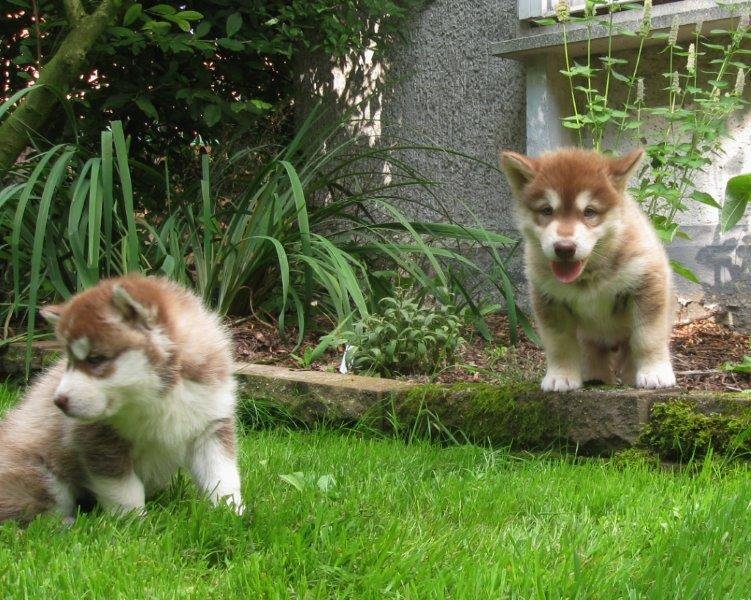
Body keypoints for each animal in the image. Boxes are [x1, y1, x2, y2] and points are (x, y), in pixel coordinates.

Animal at [0, 275, 244, 523]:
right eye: (69, 360)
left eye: (95, 359)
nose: (58, 401)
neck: (162, 395)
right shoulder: (99, 441)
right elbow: (124, 490)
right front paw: (134, 523)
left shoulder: (211, 426)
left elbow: (222, 476)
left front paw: (231, 513)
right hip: (40, 475)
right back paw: (67, 523)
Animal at [500, 147, 676, 392]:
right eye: (547, 210)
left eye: (589, 212)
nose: (564, 248)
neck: (590, 277)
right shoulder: (549, 300)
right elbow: (560, 344)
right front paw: (561, 376)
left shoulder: (647, 285)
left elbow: (648, 337)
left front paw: (655, 373)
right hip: (590, 340)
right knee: (592, 356)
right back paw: (595, 378)